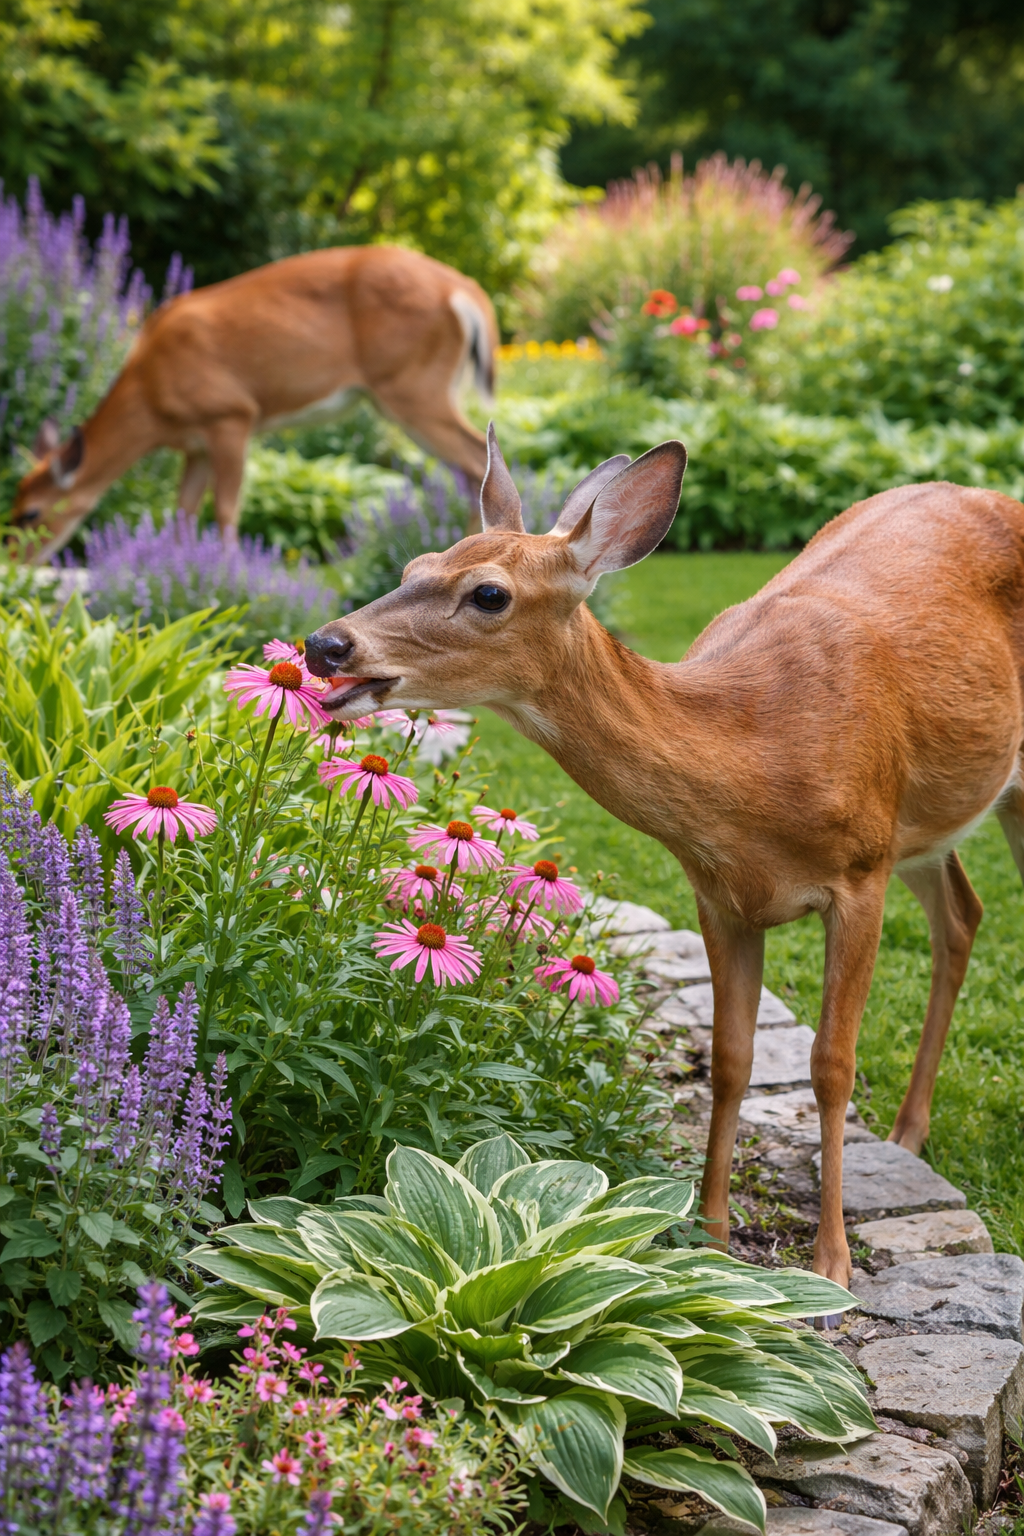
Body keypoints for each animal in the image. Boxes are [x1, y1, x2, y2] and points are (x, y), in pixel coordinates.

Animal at [10, 245, 498, 558]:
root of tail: (469, 294)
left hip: (412, 386)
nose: (16, 565)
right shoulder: (194, 445)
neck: (151, 395)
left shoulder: (231, 415)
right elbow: (183, 513)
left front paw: (231, 577)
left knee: (477, 457)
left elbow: (227, 509)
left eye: (30, 514)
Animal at [303, 423, 1024, 1290]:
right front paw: (710, 1238)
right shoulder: (718, 895)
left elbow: (832, 1065)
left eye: (488, 594)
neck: (758, 757)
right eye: (415, 566)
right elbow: (731, 1057)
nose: (325, 643)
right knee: (964, 912)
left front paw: (832, 1264)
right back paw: (911, 1131)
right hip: (929, 819)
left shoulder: (860, 874)